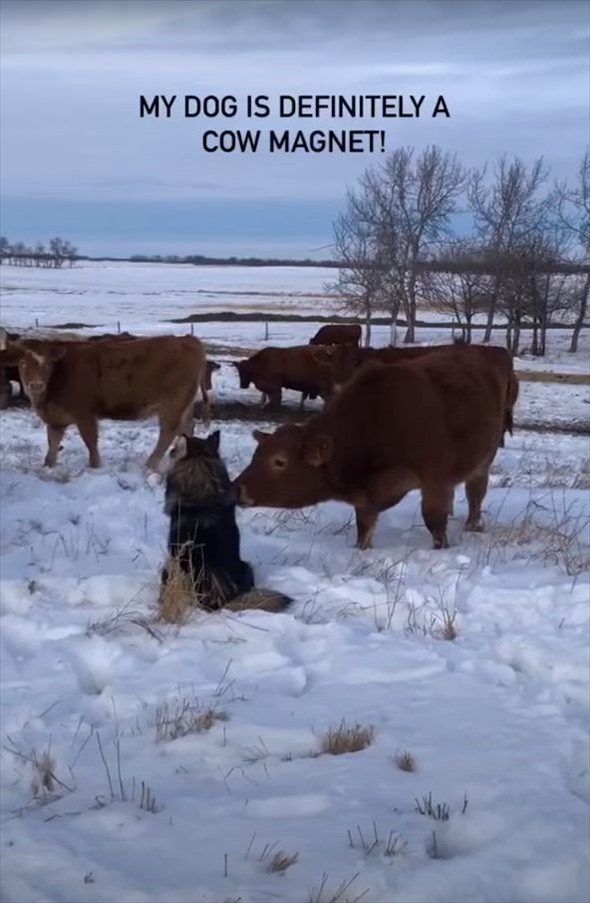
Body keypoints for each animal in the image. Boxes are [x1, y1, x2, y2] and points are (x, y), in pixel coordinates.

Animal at [0, 332, 208, 474]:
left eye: (48, 364)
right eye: (23, 363)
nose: (35, 385)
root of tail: (188, 339)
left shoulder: (85, 414)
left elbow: (90, 441)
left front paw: (95, 466)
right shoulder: (55, 418)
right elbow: (52, 443)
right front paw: (47, 466)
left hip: (172, 405)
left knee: (168, 433)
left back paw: (149, 465)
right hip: (184, 405)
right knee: (187, 427)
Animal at [236, 346, 520, 556]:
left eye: (279, 461)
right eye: (256, 455)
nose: (235, 489)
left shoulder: (435, 479)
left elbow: (434, 521)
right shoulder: (366, 498)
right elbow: (364, 528)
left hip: (484, 459)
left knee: (475, 493)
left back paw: (473, 524)